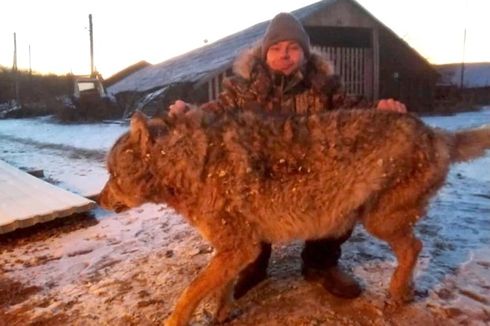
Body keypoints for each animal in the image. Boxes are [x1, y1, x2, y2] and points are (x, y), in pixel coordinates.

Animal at [98, 107, 490, 326]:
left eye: (112, 175)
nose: (98, 199)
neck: (192, 164)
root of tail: (436, 133)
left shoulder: (237, 248)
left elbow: (190, 292)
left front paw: (174, 320)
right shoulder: (235, 249)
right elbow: (218, 288)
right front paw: (221, 314)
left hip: (378, 221)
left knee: (414, 247)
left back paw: (395, 294)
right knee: (414, 247)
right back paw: (405, 292)